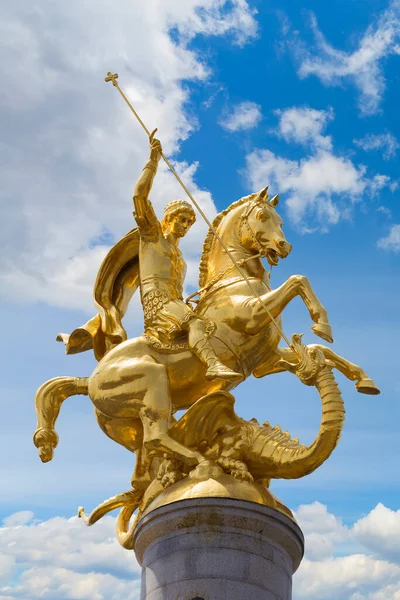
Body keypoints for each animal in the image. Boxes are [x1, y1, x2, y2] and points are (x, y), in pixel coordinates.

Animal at [34, 190, 378, 486]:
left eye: (280, 220)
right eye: (262, 216)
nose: (285, 247)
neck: (235, 280)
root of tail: (89, 379)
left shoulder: (264, 361)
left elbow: (319, 349)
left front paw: (362, 378)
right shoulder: (252, 314)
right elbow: (297, 281)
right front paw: (323, 324)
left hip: (127, 425)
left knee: (147, 455)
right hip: (151, 380)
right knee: (157, 437)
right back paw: (202, 461)